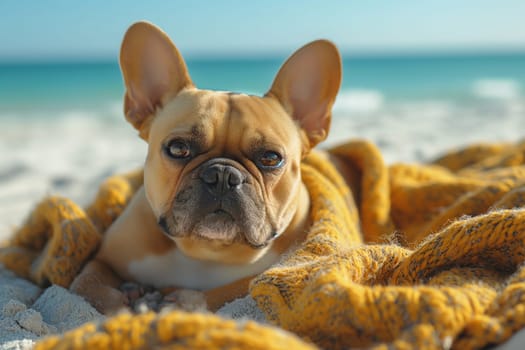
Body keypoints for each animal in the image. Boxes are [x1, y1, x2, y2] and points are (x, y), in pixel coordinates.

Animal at [68, 20, 340, 314]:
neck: (207, 252)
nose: (223, 175)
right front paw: (123, 304)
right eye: (178, 148)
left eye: (270, 158)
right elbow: (87, 283)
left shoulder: (279, 272)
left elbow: (230, 290)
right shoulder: (104, 258)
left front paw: (179, 300)